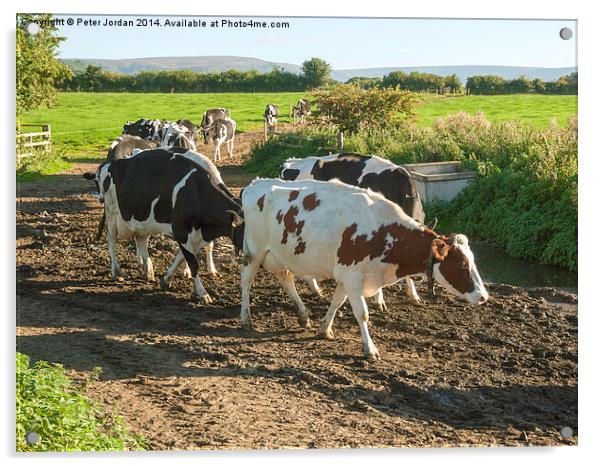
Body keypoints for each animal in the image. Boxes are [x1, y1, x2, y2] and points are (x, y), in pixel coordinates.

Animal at [82, 147, 241, 304]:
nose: (99, 198)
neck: (196, 191)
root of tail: (113, 163)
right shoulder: (181, 230)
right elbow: (192, 261)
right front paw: (202, 293)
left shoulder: (196, 234)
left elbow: (186, 255)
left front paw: (166, 279)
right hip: (112, 214)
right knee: (112, 240)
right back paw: (116, 271)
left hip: (142, 219)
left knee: (141, 240)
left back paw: (147, 270)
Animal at [231, 178, 488, 360]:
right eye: (462, 264)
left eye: (473, 260)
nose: (484, 297)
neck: (384, 232)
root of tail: (256, 184)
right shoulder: (353, 276)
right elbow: (362, 313)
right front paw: (370, 349)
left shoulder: (347, 276)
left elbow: (336, 302)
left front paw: (324, 329)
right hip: (254, 252)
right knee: (246, 281)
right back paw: (246, 319)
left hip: (279, 254)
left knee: (285, 278)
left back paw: (303, 315)